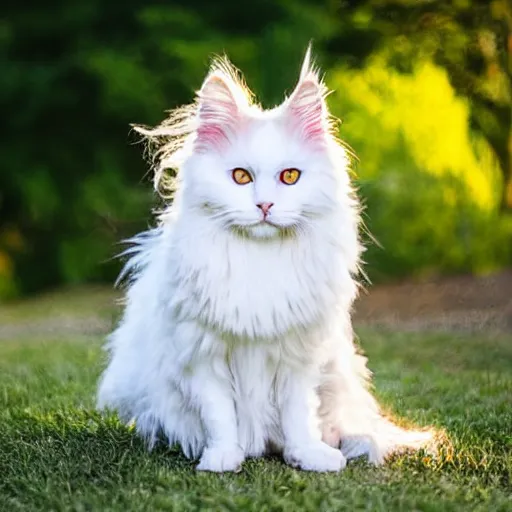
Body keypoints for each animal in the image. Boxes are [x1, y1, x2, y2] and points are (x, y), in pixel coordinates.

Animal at [96, 47, 432, 472]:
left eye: (290, 177)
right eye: (241, 177)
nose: (265, 205)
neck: (259, 259)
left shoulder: (298, 358)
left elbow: (298, 415)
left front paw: (309, 456)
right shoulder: (204, 356)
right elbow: (220, 417)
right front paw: (222, 459)